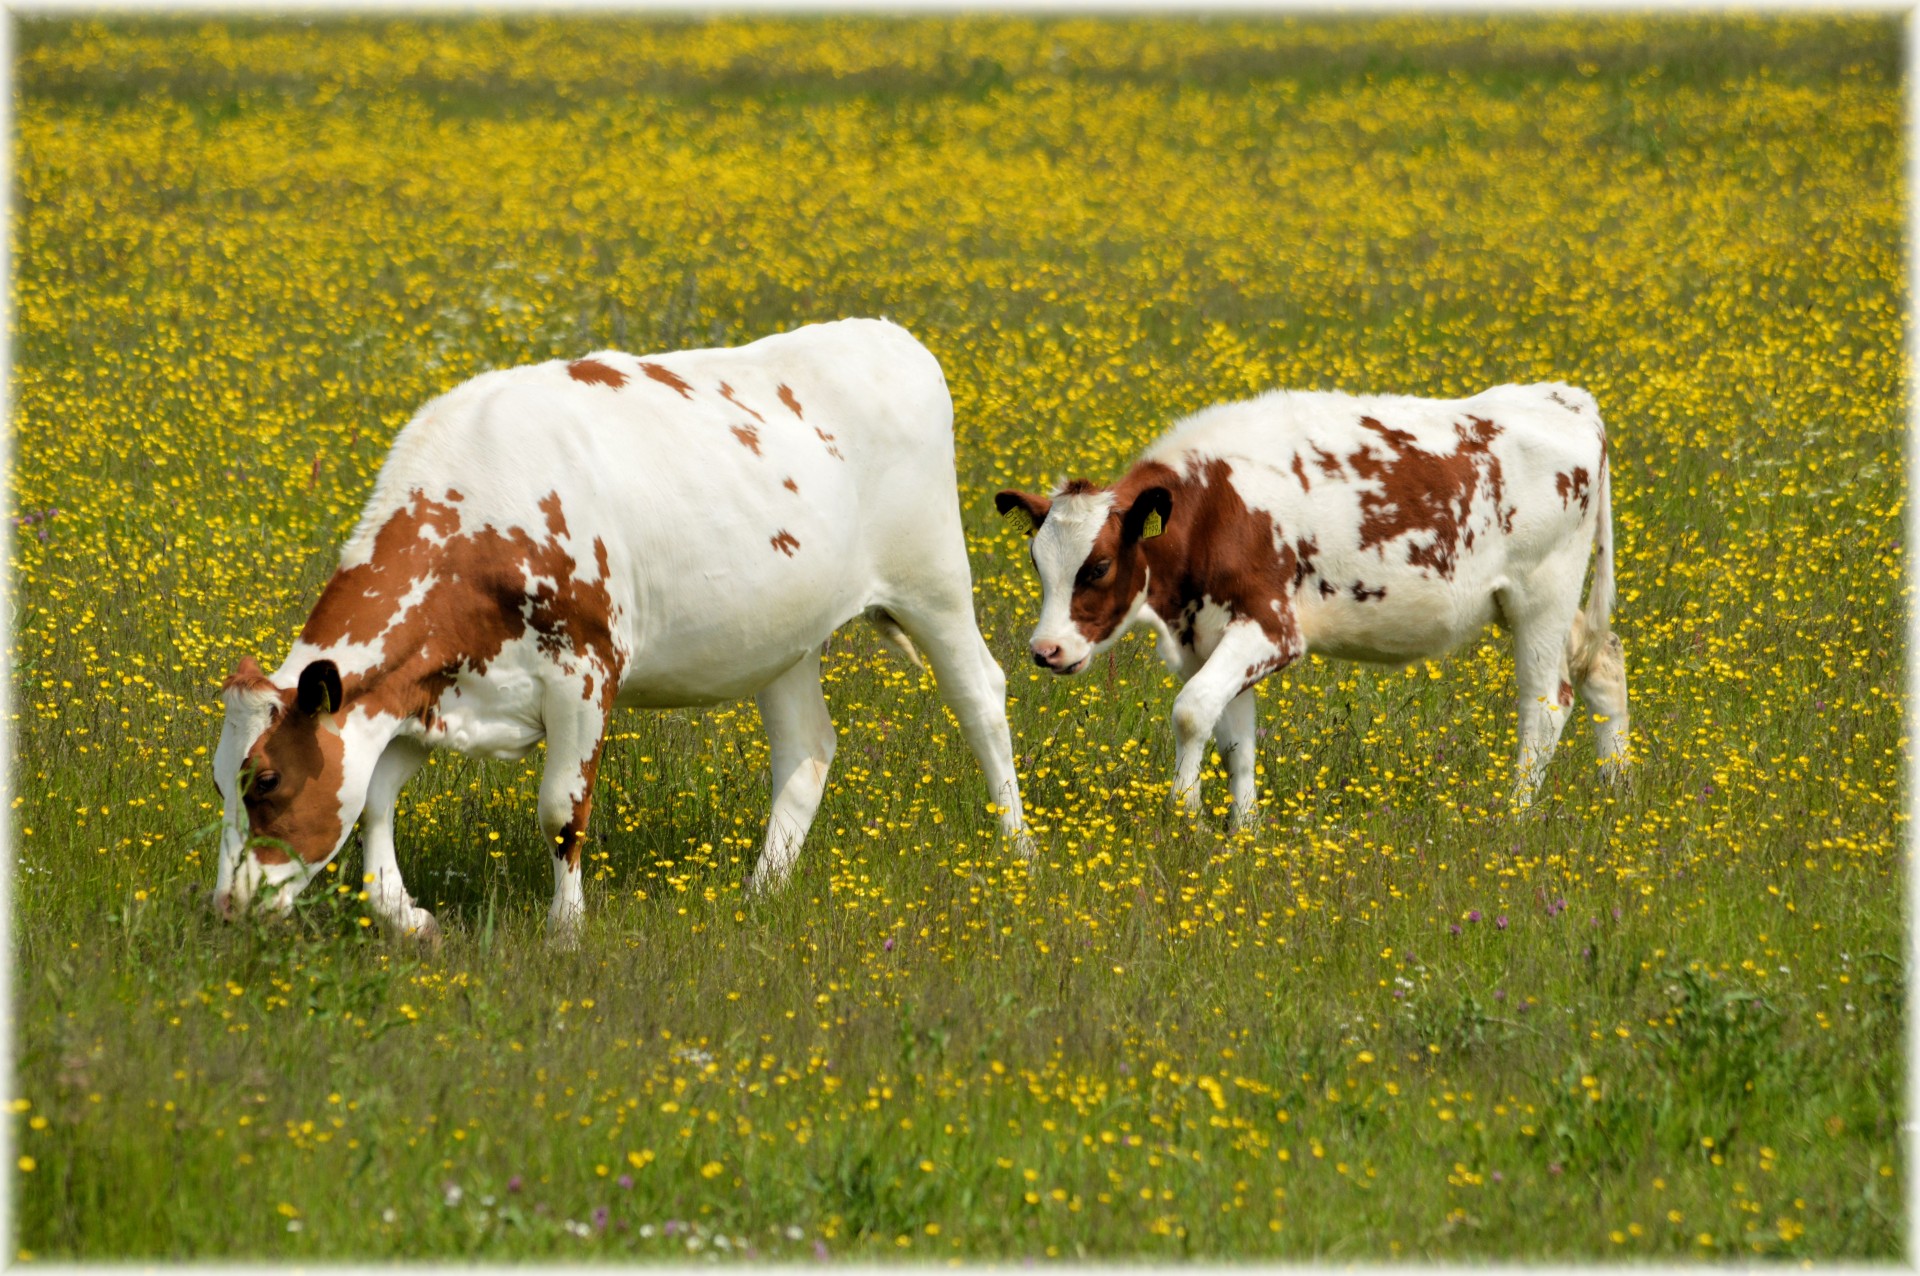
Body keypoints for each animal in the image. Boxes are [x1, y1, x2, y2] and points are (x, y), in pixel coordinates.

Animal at [216, 314, 1029, 940]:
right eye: (223, 781)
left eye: (266, 779)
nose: (225, 906)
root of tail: (889, 335)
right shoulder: (428, 688)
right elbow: (375, 798)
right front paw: (403, 914)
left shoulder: (584, 673)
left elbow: (560, 812)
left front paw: (565, 932)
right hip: (782, 636)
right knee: (808, 749)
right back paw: (760, 891)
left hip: (933, 580)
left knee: (981, 698)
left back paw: (1018, 850)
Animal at [998, 378, 1628, 821]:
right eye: (1036, 563)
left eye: (1099, 566)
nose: (1045, 649)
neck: (1214, 505)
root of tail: (1565, 398)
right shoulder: (1212, 635)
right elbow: (1234, 737)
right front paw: (1243, 831)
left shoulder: (1273, 628)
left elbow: (1191, 710)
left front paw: (1186, 811)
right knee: (1603, 662)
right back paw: (1616, 789)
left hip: (1542, 593)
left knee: (1545, 703)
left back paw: (1515, 813)